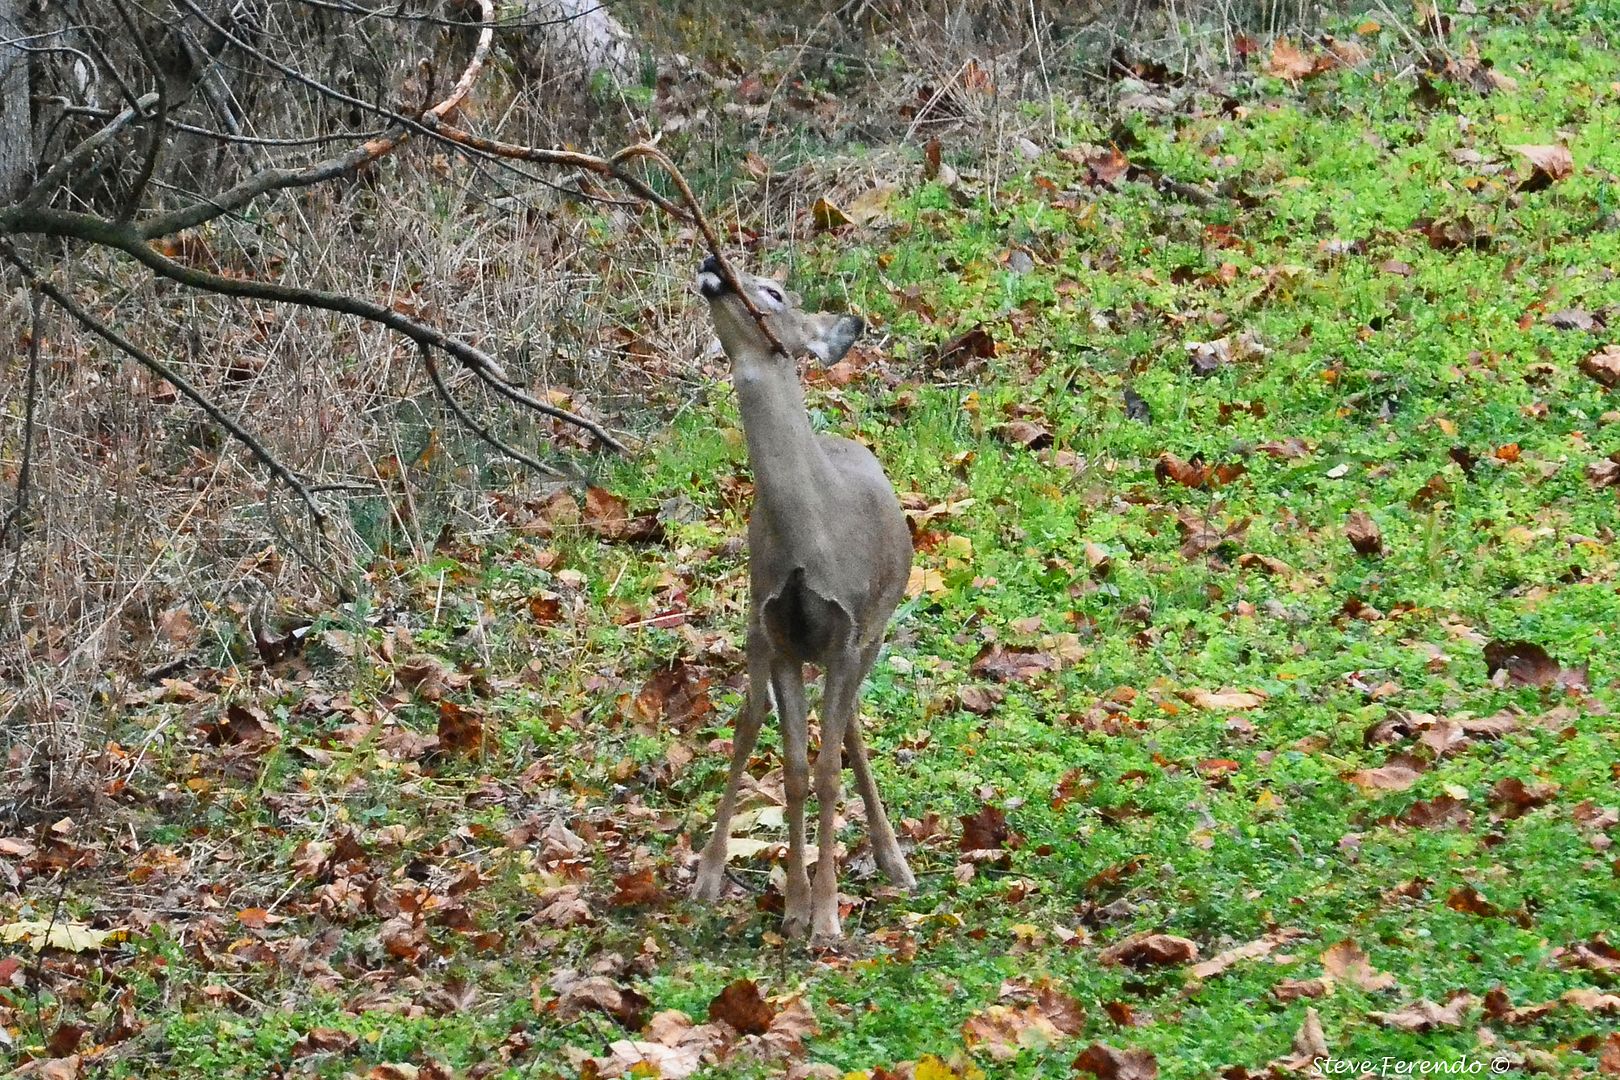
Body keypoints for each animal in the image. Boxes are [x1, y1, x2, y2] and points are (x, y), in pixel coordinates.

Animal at [690, 255, 920, 945]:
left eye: (773, 292)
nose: (712, 263)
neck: (809, 536)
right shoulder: (784, 637)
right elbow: (793, 768)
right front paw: (795, 909)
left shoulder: (847, 633)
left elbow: (824, 772)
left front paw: (825, 918)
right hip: (754, 625)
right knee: (752, 721)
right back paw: (710, 874)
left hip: (872, 634)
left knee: (852, 731)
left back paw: (895, 863)